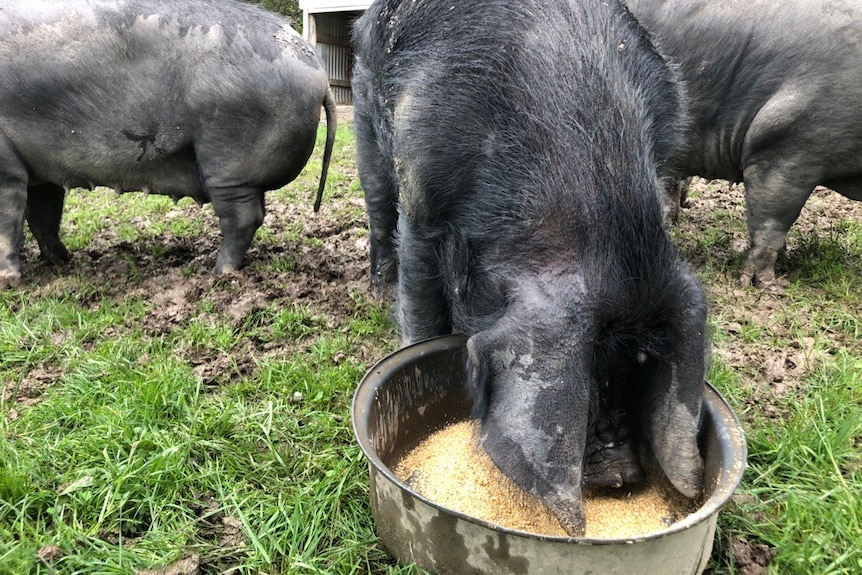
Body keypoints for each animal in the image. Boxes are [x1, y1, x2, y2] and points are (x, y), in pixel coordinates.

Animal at [352, 0, 708, 536]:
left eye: (641, 363)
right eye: (593, 374)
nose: (625, 477)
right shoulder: (419, 192)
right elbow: (420, 297)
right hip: (365, 120)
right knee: (377, 207)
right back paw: (377, 290)